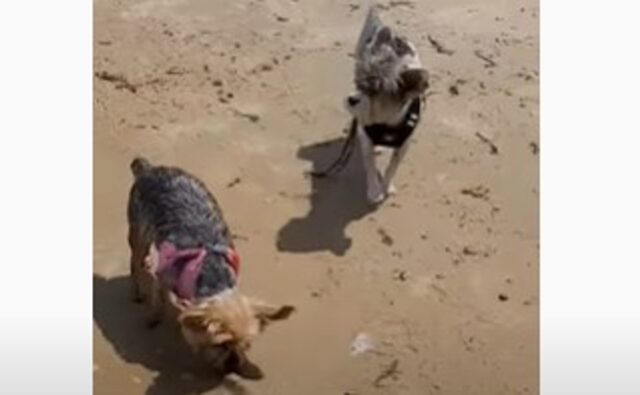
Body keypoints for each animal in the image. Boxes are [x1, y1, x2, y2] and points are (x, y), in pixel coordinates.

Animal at [312, 5, 430, 204]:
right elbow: (370, 166)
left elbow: (392, 167)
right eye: (358, 82)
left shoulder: (403, 147)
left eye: (377, 91)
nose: (352, 99)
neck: (387, 122)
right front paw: (375, 190)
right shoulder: (365, 138)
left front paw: (387, 185)